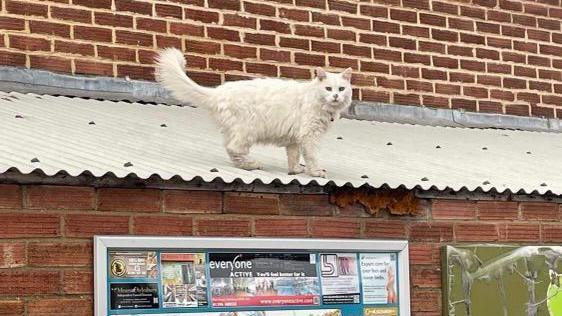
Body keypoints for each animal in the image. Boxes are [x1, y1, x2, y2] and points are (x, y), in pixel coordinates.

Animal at [154, 48, 350, 179]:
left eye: (341, 89)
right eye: (328, 89)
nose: (335, 96)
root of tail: (218, 92)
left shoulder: (294, 139)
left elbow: (293, 157)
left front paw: (295, 170)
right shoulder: (309, 136)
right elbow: (312, 156)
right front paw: (316, 172)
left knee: (229, 148)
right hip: (248, 129)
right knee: (234, 148)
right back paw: (253, 164)